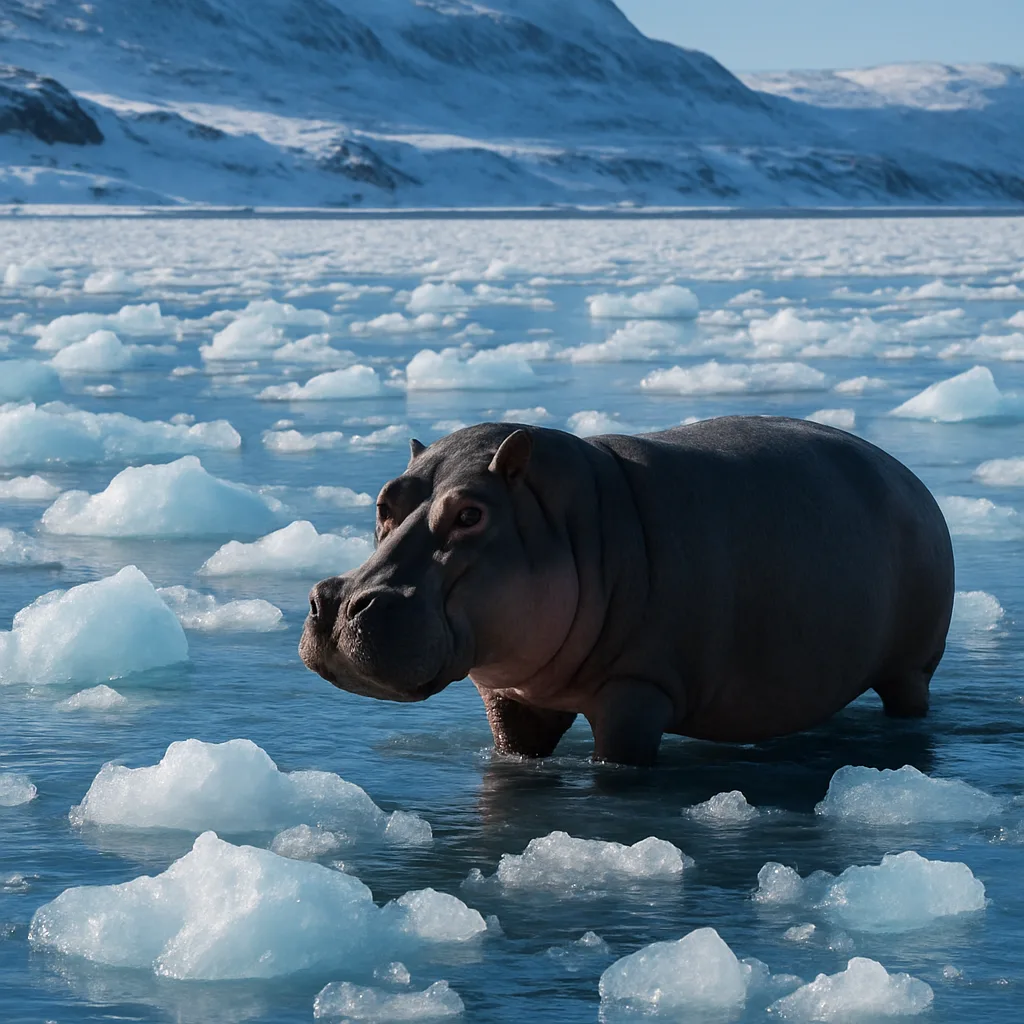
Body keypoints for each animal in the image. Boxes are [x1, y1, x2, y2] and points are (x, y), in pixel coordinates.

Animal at [300, 417, 954, 766]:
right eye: (385, 500)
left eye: (469, 514)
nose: (339, 602)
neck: (566, 518)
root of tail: (907, 475)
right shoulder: (506, 693)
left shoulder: (637, 690)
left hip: (911, 667)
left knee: (908, 698)